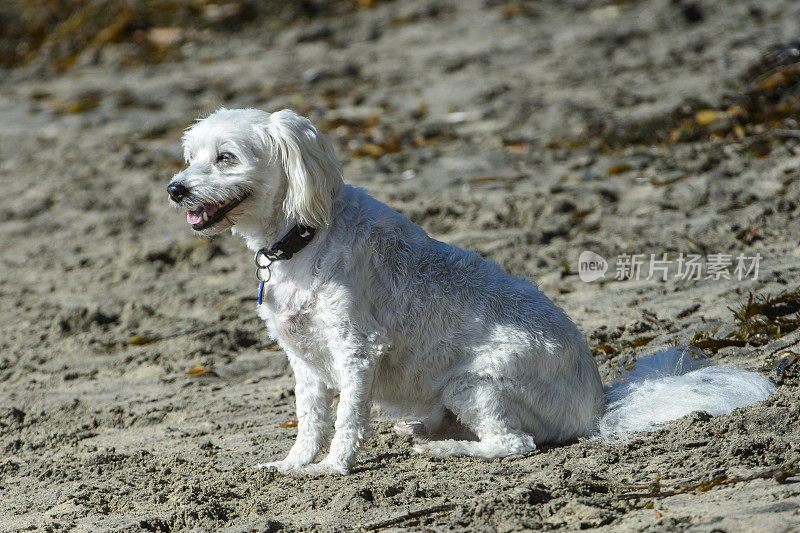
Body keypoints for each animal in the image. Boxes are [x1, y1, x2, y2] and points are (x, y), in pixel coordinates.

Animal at [167, 108, 776, 474]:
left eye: (226, 158)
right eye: (190, 157)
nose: (175, 189)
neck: (302, 237)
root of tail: (598, 407)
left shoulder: (356, 350)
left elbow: (347, 420)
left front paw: (335, 469)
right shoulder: (306, 360)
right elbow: (312, 419)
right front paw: (295, 465)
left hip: (475, 383)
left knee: (514, 444)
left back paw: (450, 448)